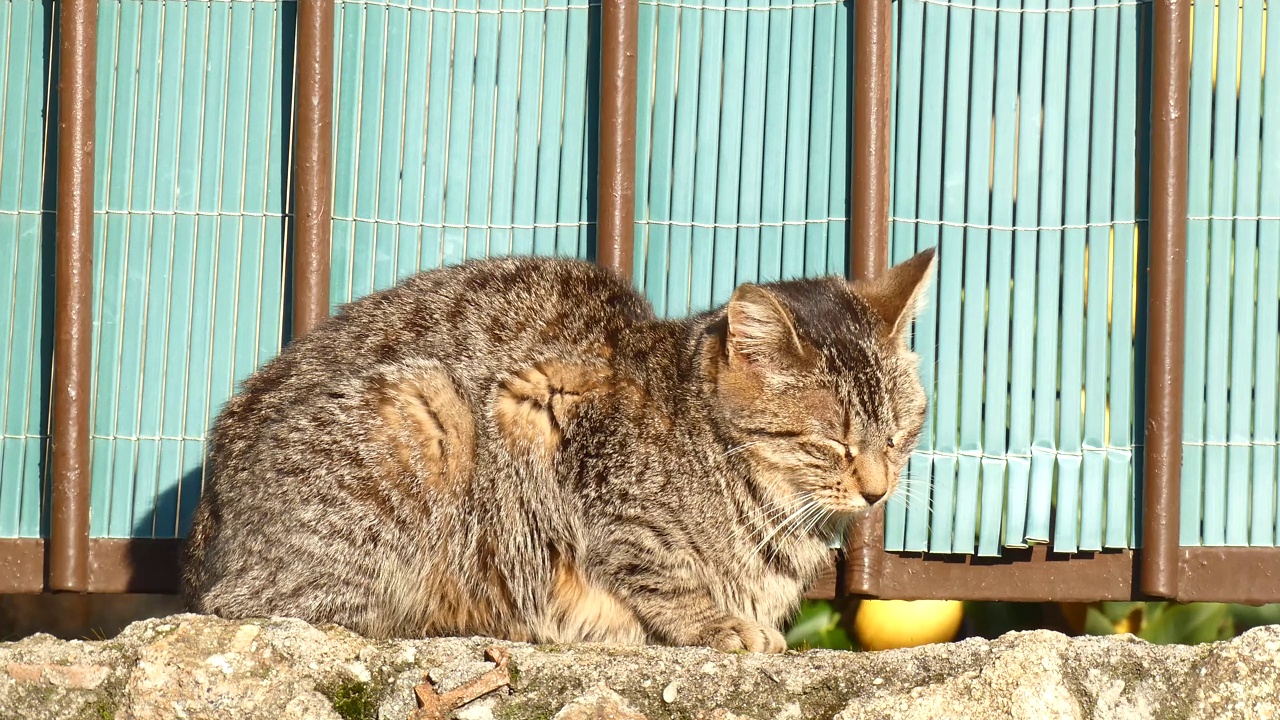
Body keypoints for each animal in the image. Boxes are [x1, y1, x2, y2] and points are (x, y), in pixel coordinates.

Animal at [180, 248, 936, 650]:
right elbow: (663, 572)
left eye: (901, 433)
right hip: (422, 409)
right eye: (830, 443)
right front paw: (718, 623)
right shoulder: (555, 415)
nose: (877, 490)